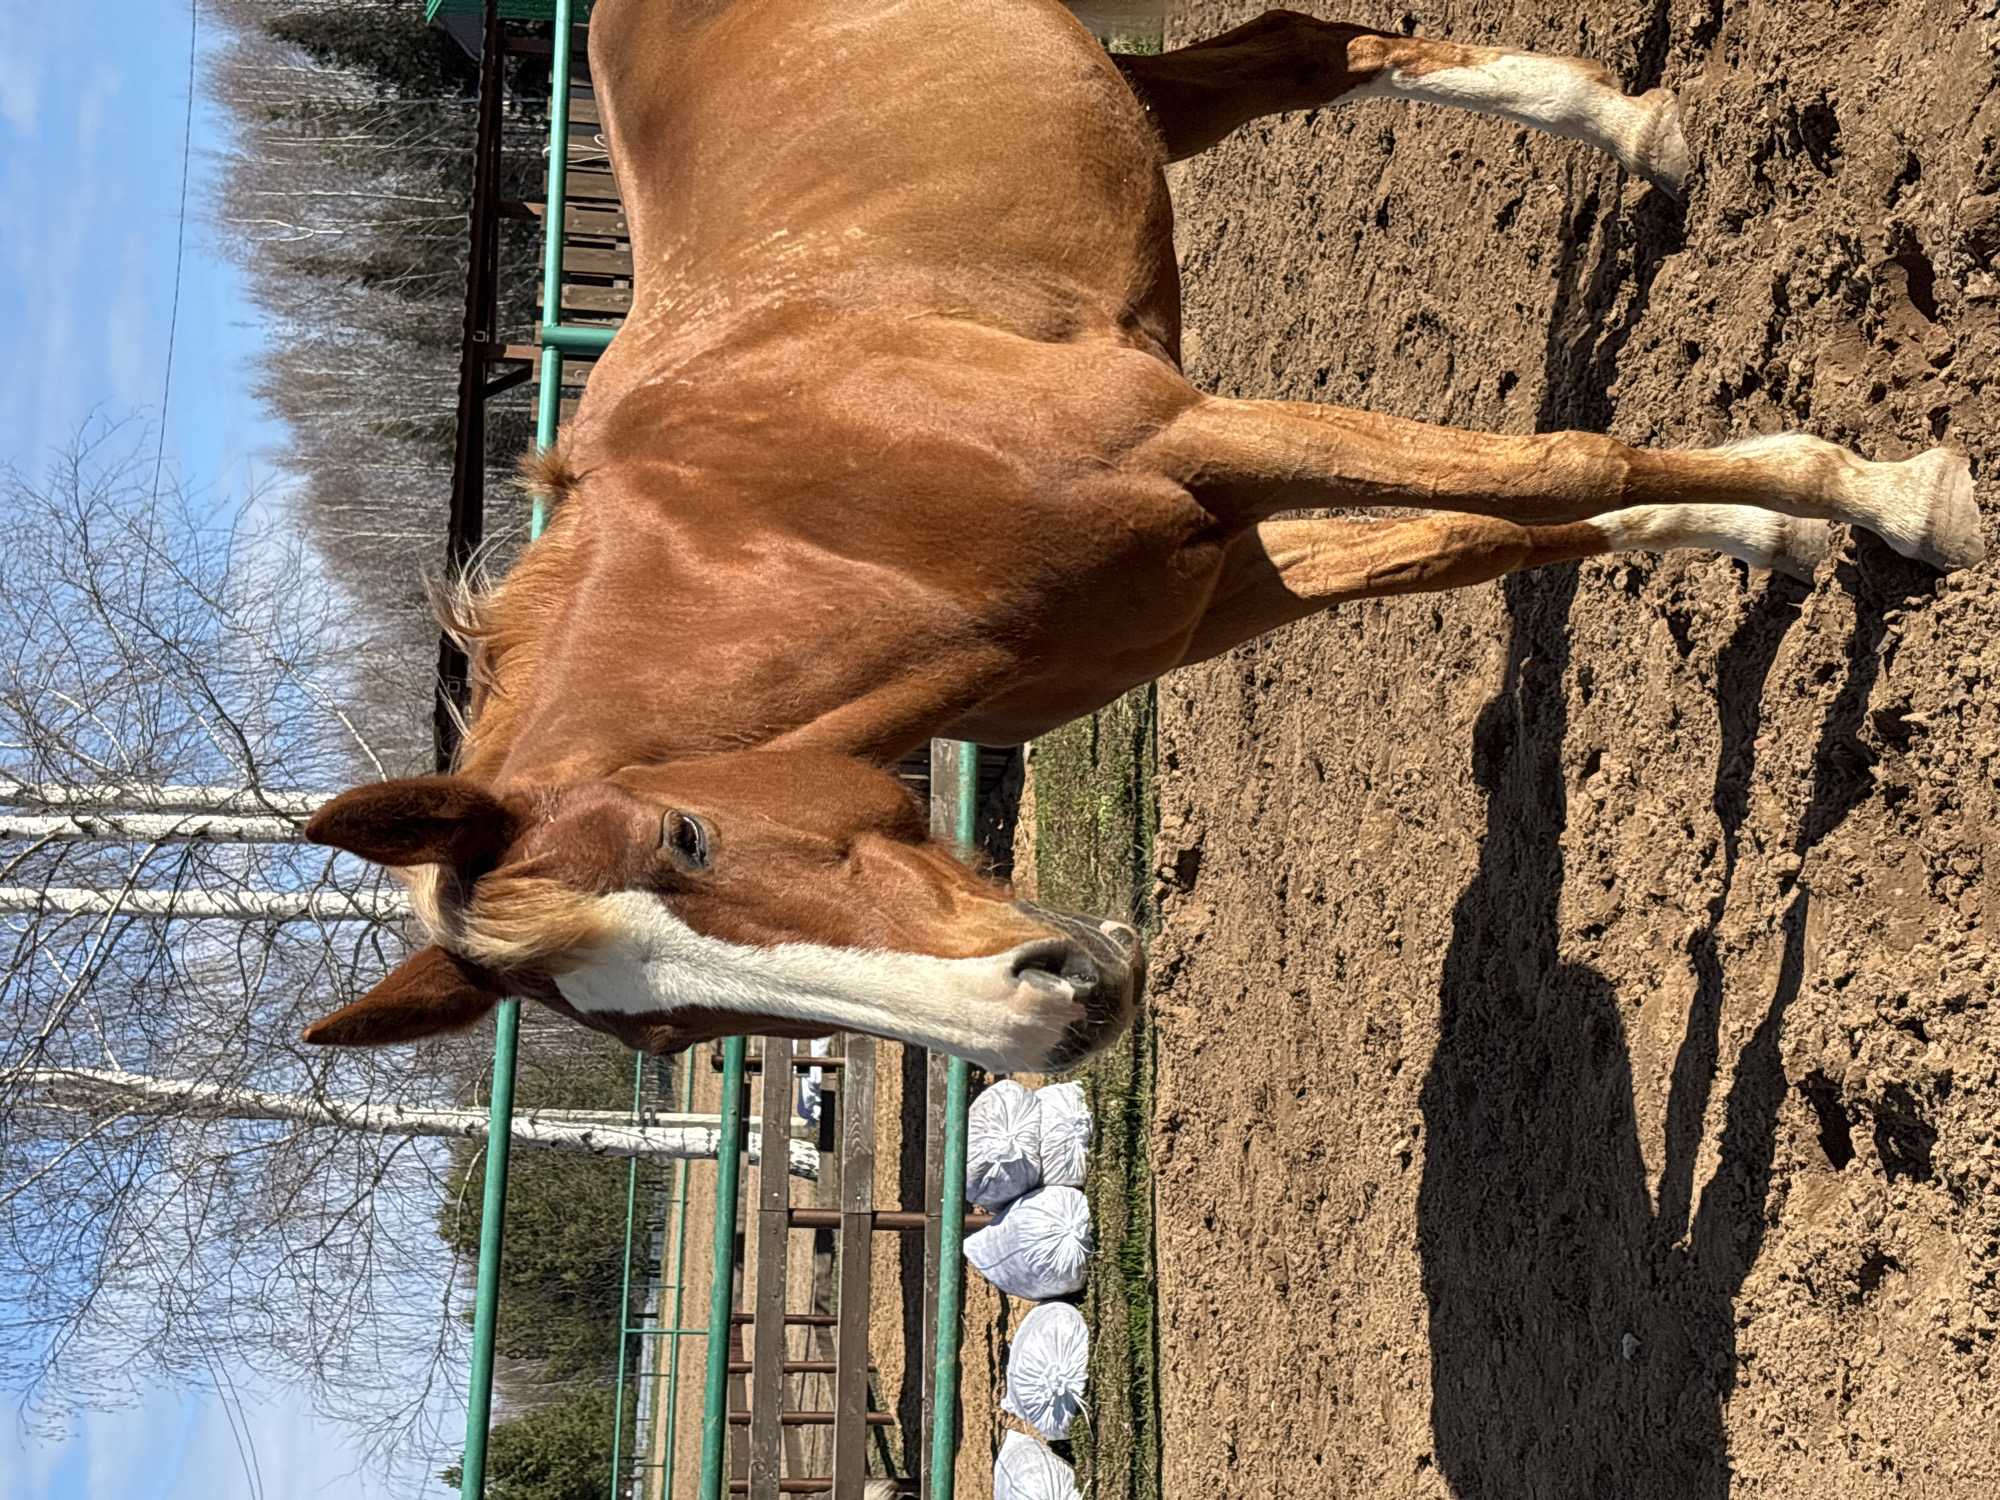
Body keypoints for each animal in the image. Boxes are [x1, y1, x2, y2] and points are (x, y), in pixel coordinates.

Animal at [301, 1, 1984, 1073]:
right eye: (670, 1028)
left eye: (686, 837)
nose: (1061, 1012)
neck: (797, 518)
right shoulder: (1224, 579)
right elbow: (1503, 527)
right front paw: (1768, 537)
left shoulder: (1188, 436)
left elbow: (1558, 461)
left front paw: (1907, 496)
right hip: (1129, 101)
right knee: (1296, 56)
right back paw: (1638, 131)